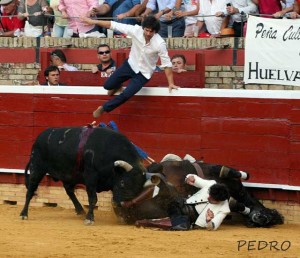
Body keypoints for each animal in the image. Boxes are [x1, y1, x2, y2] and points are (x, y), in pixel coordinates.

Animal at [19, 126, 148, 224]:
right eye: (122, 183)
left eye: (138, 188)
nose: (121, 204)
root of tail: (39, 138)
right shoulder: (91, 177)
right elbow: (93, 198)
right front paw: (89, 218)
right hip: (37, 169)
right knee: (30, 191)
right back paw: (23, 214)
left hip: (69, 175)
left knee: (69, 191)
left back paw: (80, 210)